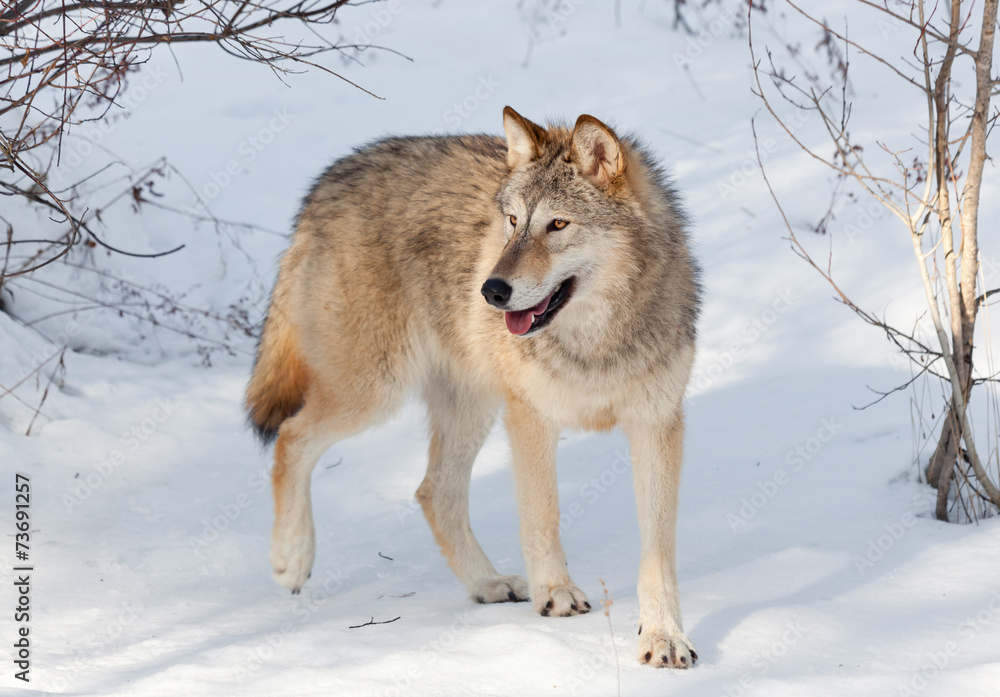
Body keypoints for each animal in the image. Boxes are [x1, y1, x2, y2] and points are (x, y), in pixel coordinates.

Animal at [245, 107, 701, 668]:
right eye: (512, 222)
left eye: (557, 224)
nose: (491, 290)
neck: (595, 343)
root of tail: (327, 181)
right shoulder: (530, 415)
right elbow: (543, 516)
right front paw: (556, 595)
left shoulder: (657, 424)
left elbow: (657, 552)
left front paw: (664, 638)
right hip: (375, 392)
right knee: (292, 437)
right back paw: (291, 559)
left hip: (468, 405)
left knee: (432, 490)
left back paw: (488, 584)